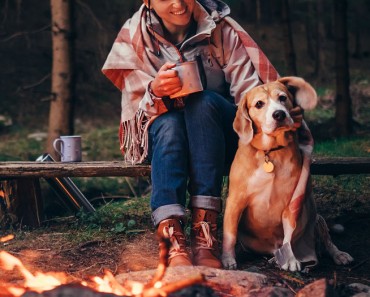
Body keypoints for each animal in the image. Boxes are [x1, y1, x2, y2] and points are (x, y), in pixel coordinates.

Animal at [221, 76, 354, 270]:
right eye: (259, 104)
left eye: (282, 98)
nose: (279, 114)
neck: (270, 152)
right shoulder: (236, 201)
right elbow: (230, 234)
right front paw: (228, 259)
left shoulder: (291, 203)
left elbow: (289, 236)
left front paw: (291, 259)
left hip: (315, 215)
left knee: (327, 241)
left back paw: (339, 255)